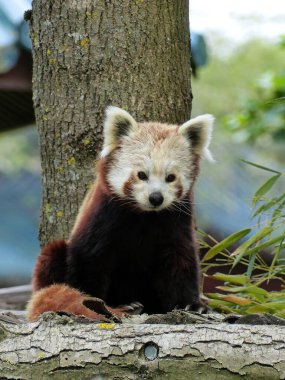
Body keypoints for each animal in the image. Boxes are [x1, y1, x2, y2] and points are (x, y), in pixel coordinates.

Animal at [27, 106, 213, 320]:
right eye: (141, 175)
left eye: (170, 177)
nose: (156, 198)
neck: (145, 215)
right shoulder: (103, 214)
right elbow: (89, 258)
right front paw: (92, 302)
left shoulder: (176, 219)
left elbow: (180, 258)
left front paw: (192, 304)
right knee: (53, 255)